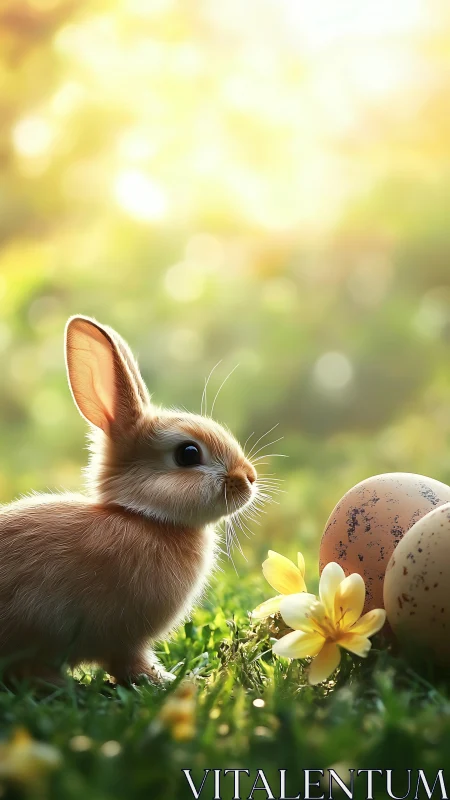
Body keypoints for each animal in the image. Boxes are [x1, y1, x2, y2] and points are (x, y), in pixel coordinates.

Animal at [0, 316, 257, 686]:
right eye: (188, 453)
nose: (249, 478)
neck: (144, 518)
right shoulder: (124, 641)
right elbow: (130, 664)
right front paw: (167, 681)